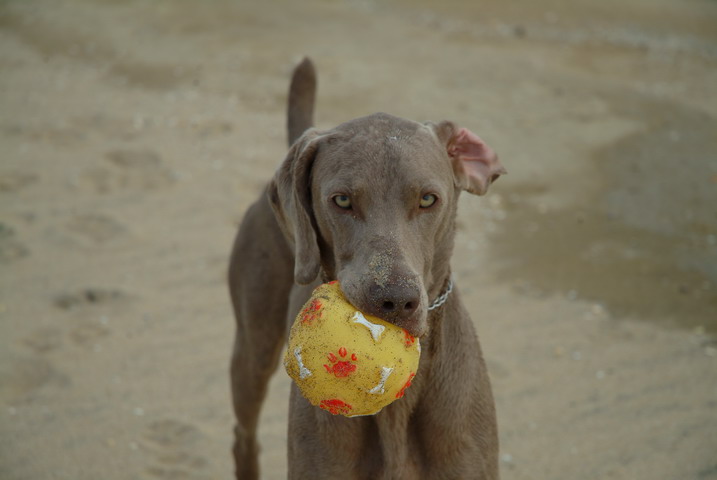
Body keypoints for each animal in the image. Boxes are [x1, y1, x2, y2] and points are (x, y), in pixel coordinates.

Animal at [228, 58, 504, 478]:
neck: (396, 411)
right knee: (244, 433)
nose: (395, 301)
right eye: (342, 200)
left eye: (428, 199)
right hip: (252, 350)